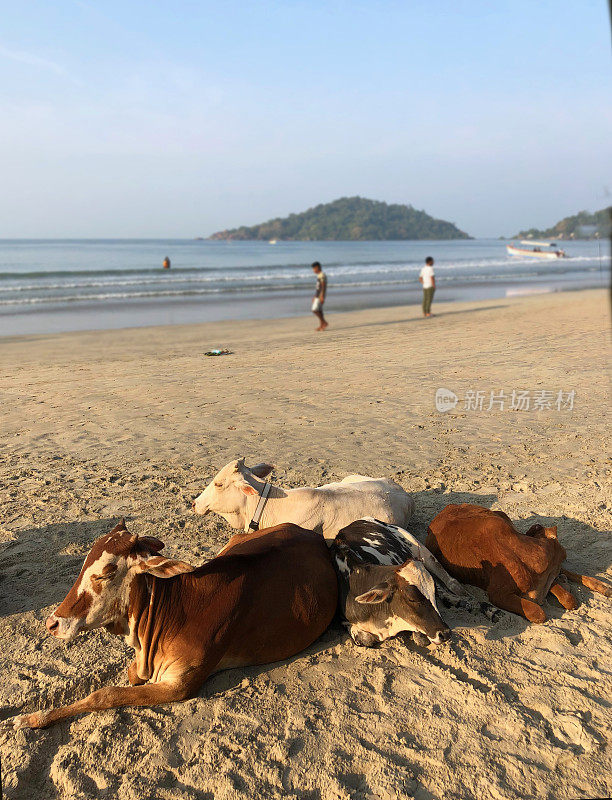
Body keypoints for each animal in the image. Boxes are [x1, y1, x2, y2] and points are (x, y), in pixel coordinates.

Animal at [13, 520, 340, 732]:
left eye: (106, 572)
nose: (53, 622)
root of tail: (312, 535)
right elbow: (130, 675)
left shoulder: (179, 685)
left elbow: (105, 694)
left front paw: (32, 718)